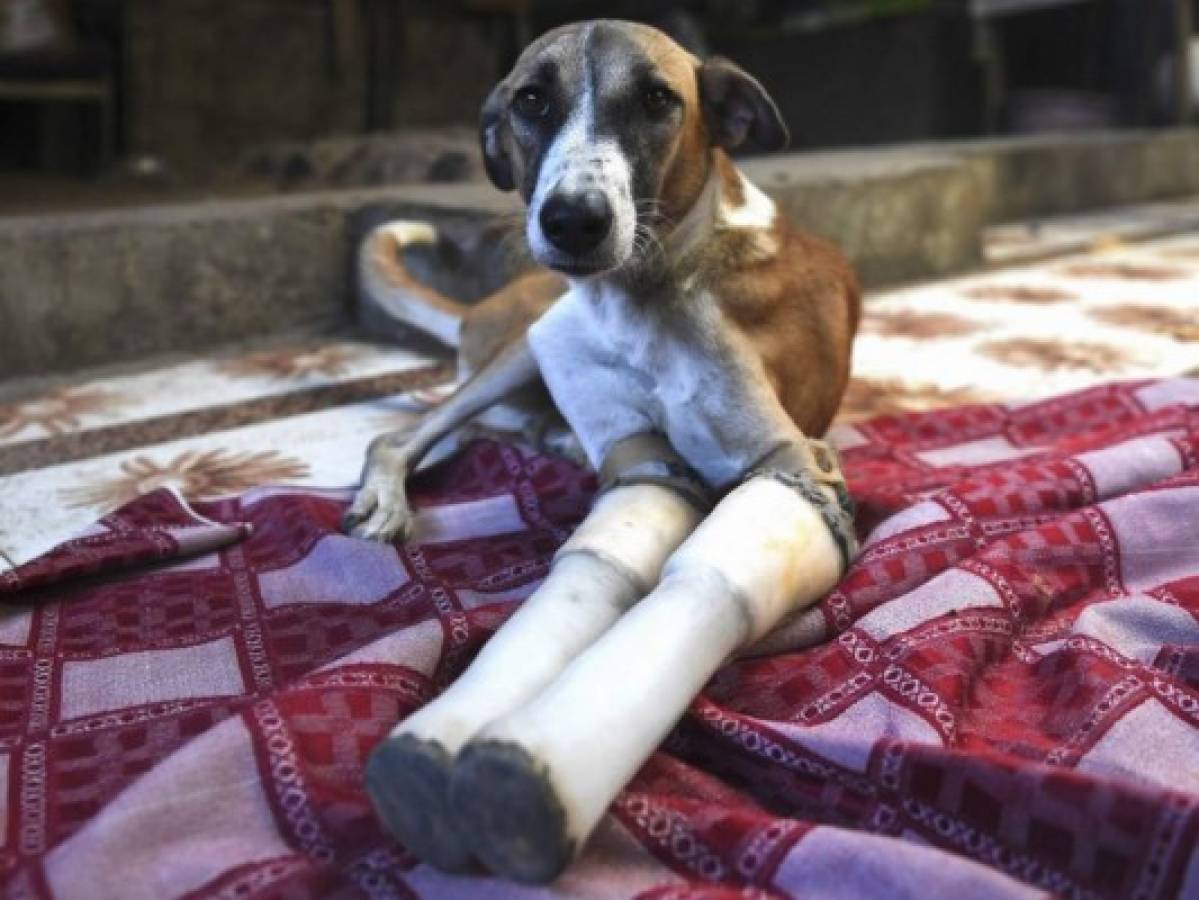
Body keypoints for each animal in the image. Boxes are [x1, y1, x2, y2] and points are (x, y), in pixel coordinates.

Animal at [347, 19, 863, 886]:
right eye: (530, 100)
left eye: (657, 99)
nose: (571, 221)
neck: (645, 293)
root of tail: (480, 311)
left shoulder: (785, 455)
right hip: (525, 342)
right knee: (405, 432)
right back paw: (394, 494)